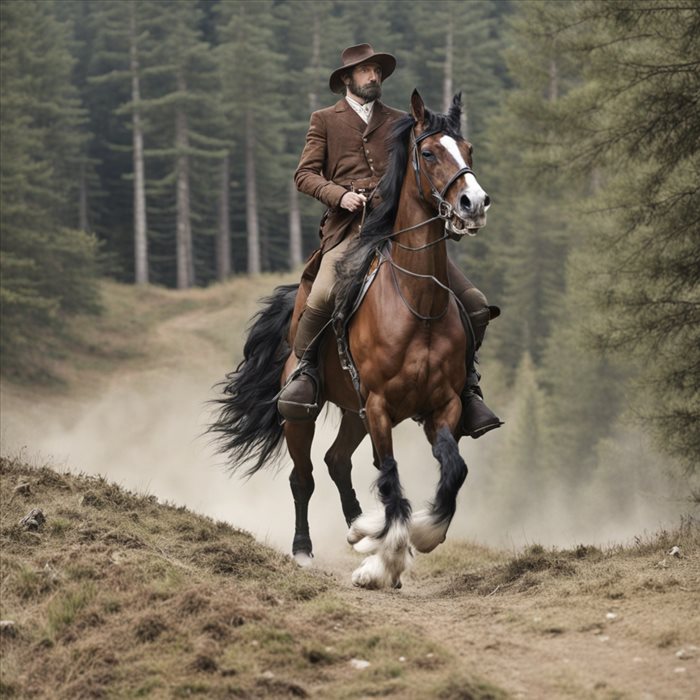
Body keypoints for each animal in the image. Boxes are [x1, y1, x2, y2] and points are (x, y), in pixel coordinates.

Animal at [213, 90, 492, 588]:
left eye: (469, 149)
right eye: (428, 153)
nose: (473, 203)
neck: (416, 304)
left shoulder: (443, 406)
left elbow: (452, 471)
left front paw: (413, 535)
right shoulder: (379, 405)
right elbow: (391, 476)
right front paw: (385, 561)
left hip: (353, 413)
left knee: (336, 461)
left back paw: (360, 526)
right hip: (303, 415)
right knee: (304, 476)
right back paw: (305, 550)